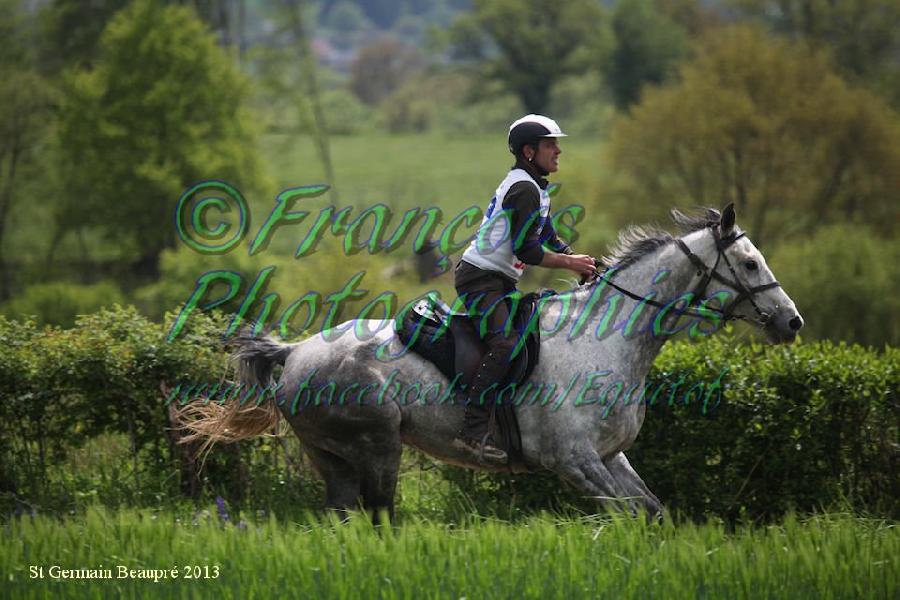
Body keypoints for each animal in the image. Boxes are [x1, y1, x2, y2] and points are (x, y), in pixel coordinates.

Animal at [176, 205, 800, 520]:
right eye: (749, 263)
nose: (791, 322)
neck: (605, 340)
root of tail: (295, 351)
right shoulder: (574, 462)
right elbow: (626, 514)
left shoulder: (609, 456)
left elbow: (652, 512)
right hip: (377, 445)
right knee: (379, 517)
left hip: (331, 456)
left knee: (344, 518)